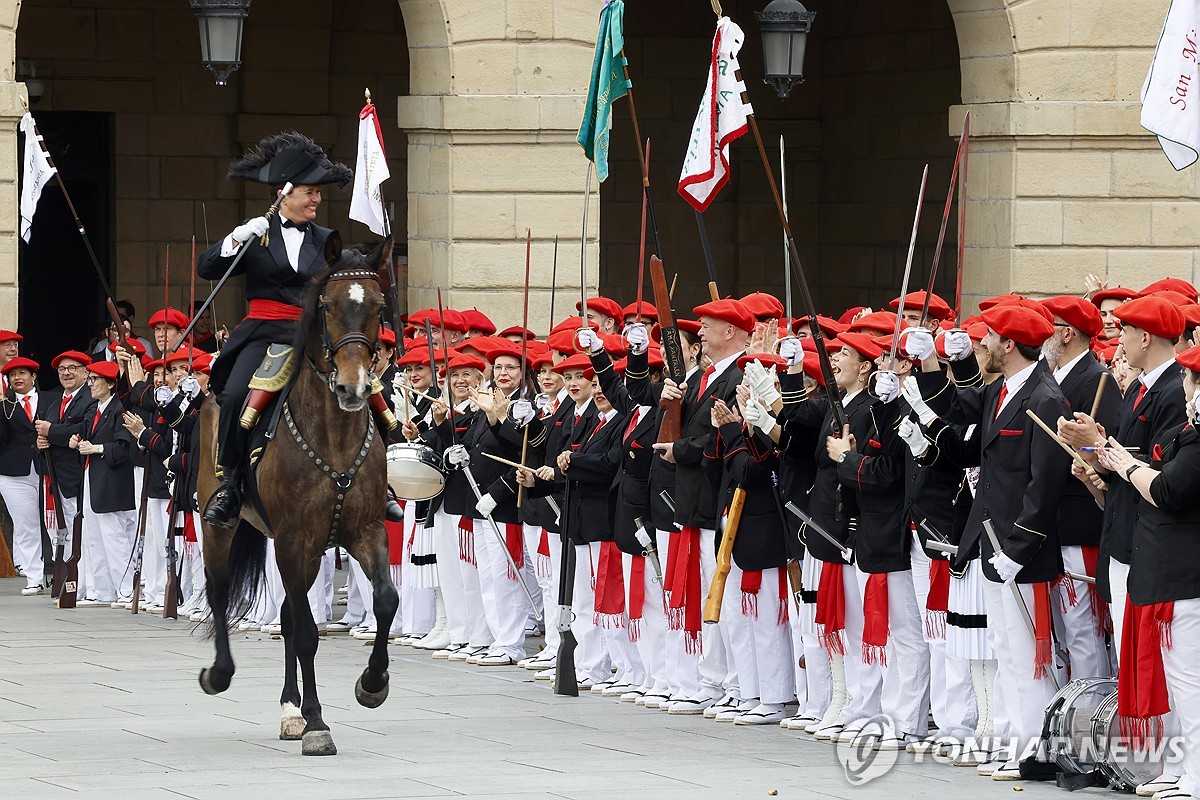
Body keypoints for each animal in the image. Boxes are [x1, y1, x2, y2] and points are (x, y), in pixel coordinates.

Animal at [194, 236, 396, 758]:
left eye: (379, 306)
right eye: (327, 305)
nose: (353, 387)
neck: (334, 434)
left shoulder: (365, 531)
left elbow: (386, 600)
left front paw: (372, 683)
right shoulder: (291, 538)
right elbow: (306, 633)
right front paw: (318, 724)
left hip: (308, 550)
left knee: (286, 610)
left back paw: (290, 710)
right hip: (220, 524)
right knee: (221, 591)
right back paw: (222, 675)